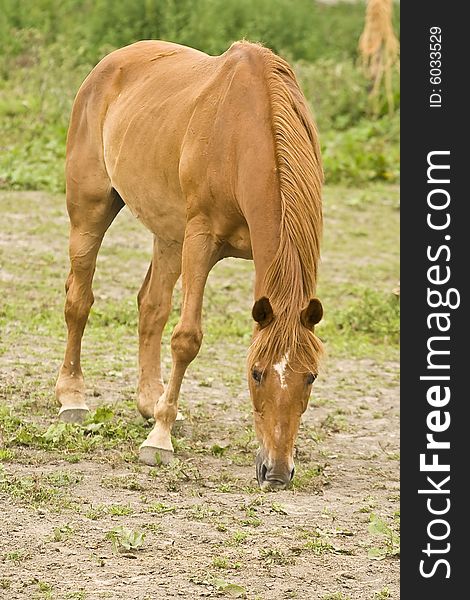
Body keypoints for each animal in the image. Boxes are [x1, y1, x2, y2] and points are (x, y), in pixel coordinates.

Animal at [55, 41, 324, 492]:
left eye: (311, 377)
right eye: (256, 373)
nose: (276, 472)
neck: (241, 136)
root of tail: (109, 64)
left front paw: (160, 417)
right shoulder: (200, 240)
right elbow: (186, 339)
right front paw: (158, 441)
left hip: (169, 235)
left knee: (151, 307)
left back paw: (151, 402)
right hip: (90, 212)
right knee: (79, 300)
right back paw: (72, 397)